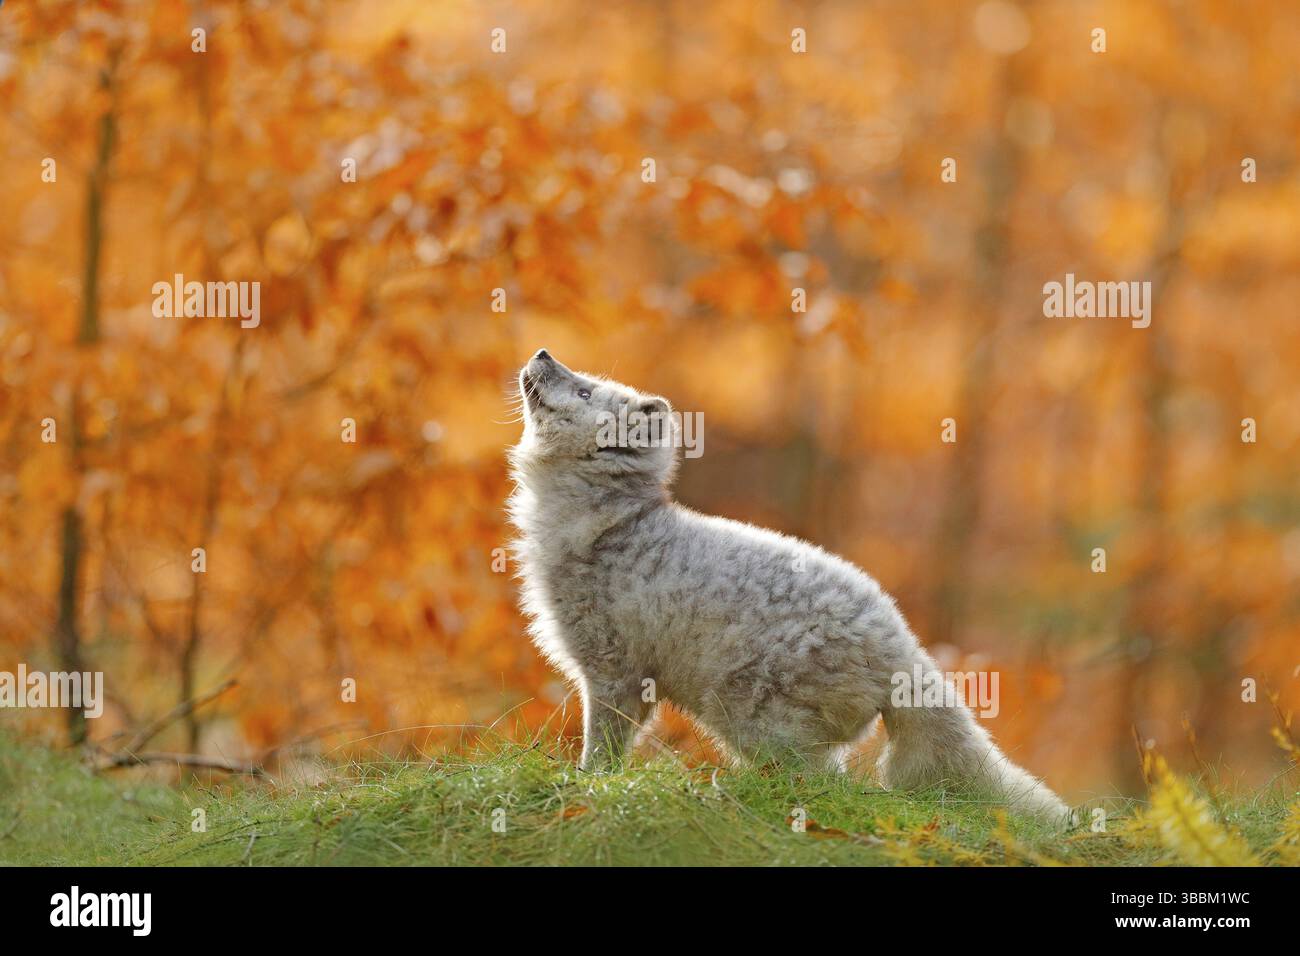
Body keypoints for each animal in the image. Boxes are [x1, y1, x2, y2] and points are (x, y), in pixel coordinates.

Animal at [508, 349, 1069, 822]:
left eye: (585, 393)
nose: (542, 353)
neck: (608, 524)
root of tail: (904, 647)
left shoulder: (612, 672)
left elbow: (601, 749)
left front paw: (583, 787)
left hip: (751, 717)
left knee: (820, 785)